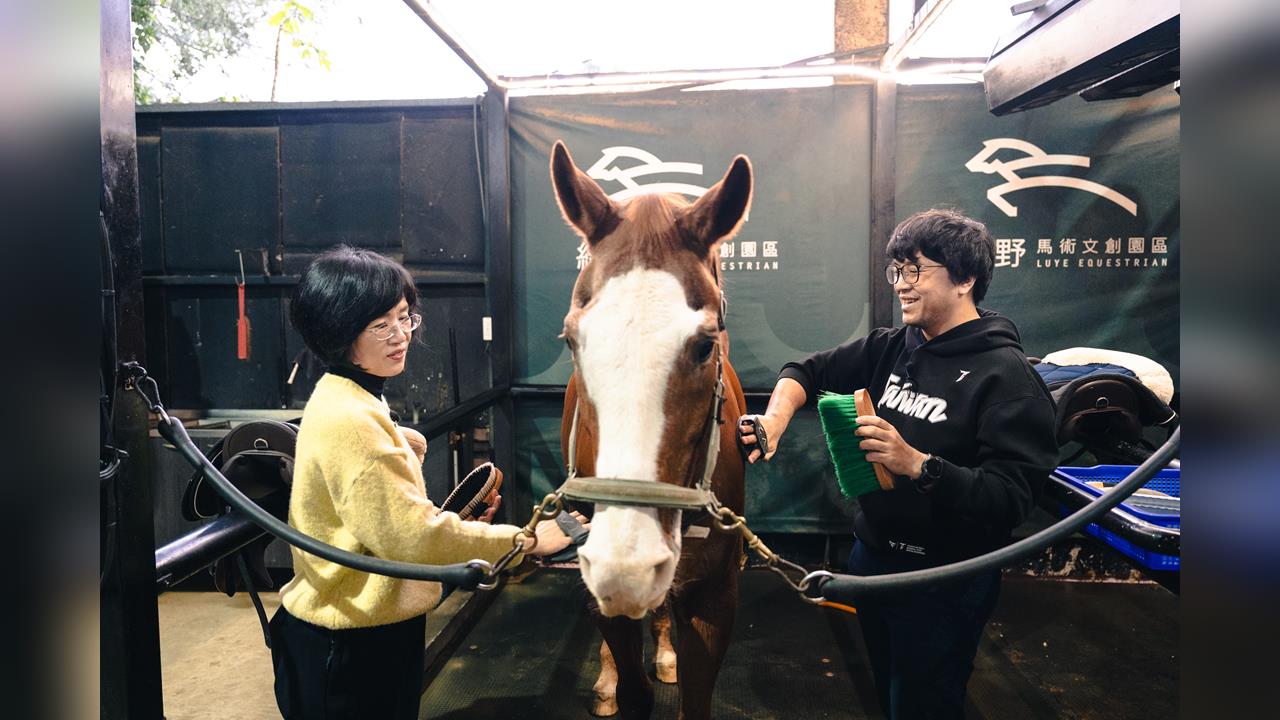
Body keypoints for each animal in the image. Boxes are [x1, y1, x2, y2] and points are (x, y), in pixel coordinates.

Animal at [550, 140, 752, 720]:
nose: (628, 566)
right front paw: (617, 680)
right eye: (571, 339)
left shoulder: (714, 596)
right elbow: (634, 689)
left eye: (706, 344)